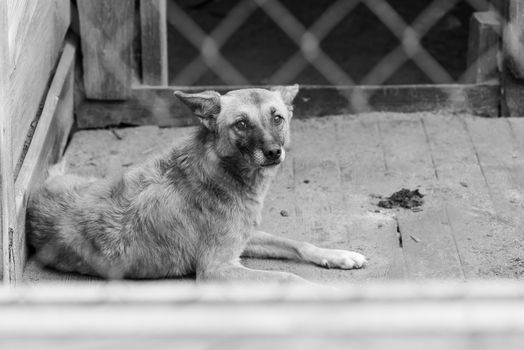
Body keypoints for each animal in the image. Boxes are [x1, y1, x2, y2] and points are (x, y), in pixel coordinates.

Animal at [26, 85, 366, 284]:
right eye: (241, 124)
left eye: (277, 118)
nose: (273, 152)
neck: (223, 170)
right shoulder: (217, 268)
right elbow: (289, 278)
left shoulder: (245, 239)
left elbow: (298, 244)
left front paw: (339, 255)